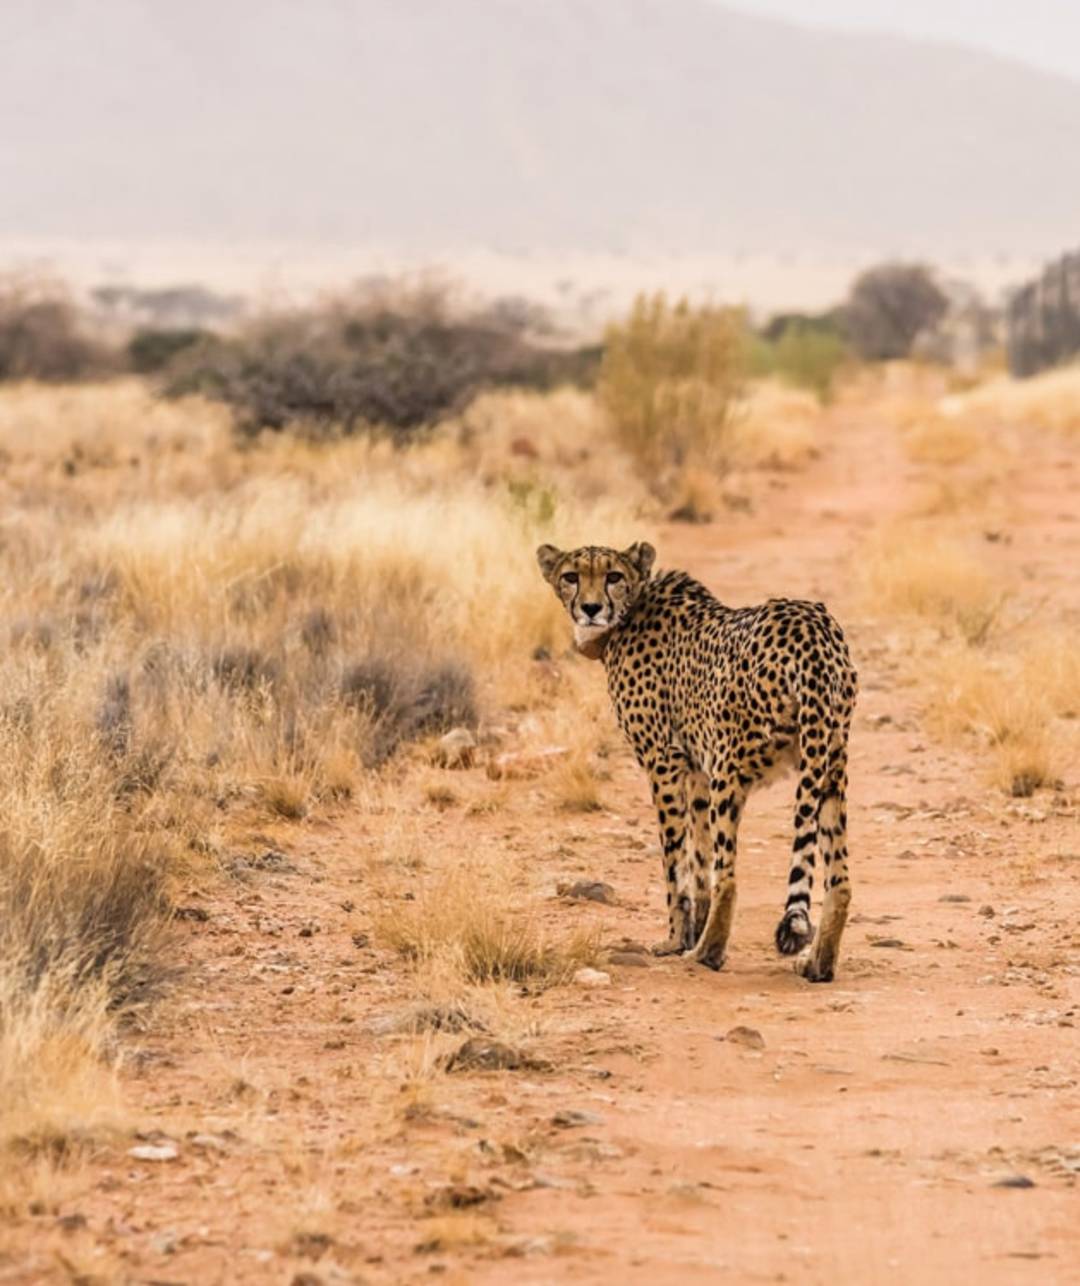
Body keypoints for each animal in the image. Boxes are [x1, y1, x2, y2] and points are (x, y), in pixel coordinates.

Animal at [537, 540, 858, 983]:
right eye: (571, 576)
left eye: (613, 576)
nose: (590, 607)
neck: (629, 609)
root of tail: (810, 627)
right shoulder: (698, 770)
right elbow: (701, 856)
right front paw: (693, 927)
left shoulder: (664, 762)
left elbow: (677, 862)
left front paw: (677, 940)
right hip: (829, 764)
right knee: (839, 879)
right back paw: (818, 963)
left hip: (733, 768)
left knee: (731, 877)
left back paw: (707, 953)